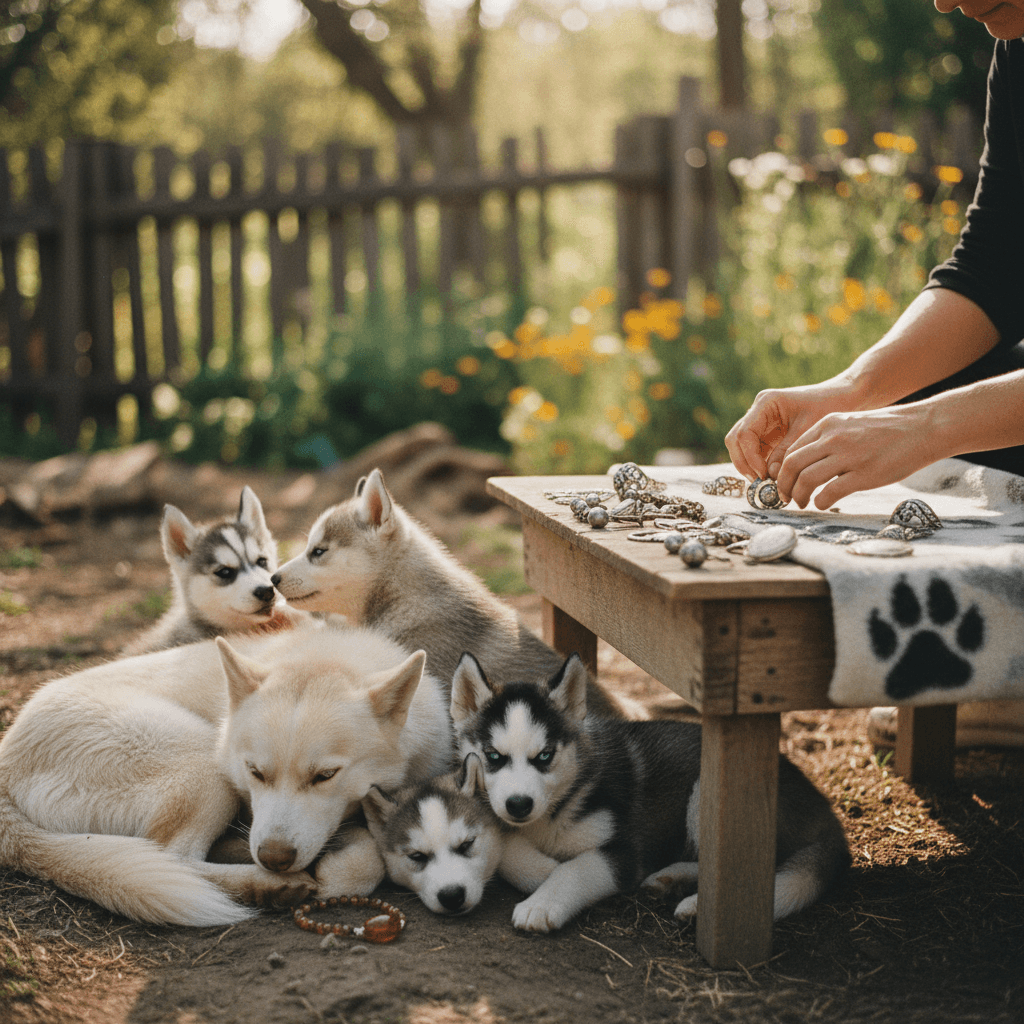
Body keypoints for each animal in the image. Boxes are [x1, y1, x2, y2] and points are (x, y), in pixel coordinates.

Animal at [0, 618, 452, 926]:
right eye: (255, 772)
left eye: (325, 775)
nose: (273, 858)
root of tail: (7, 756)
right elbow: (360, 868)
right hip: (203, 763)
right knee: (176, 858)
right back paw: (263, 886)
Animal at [451, 653, 851, 933]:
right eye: (494, 756)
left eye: (545, 756)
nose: (519, 805)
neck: (560, 803)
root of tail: (828, 814)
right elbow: (508, 850)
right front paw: (540, 868)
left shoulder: (627, 852)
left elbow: (578, 867)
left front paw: (544, 901)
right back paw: (669, 880)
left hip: (705, 793)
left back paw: (694, 902)